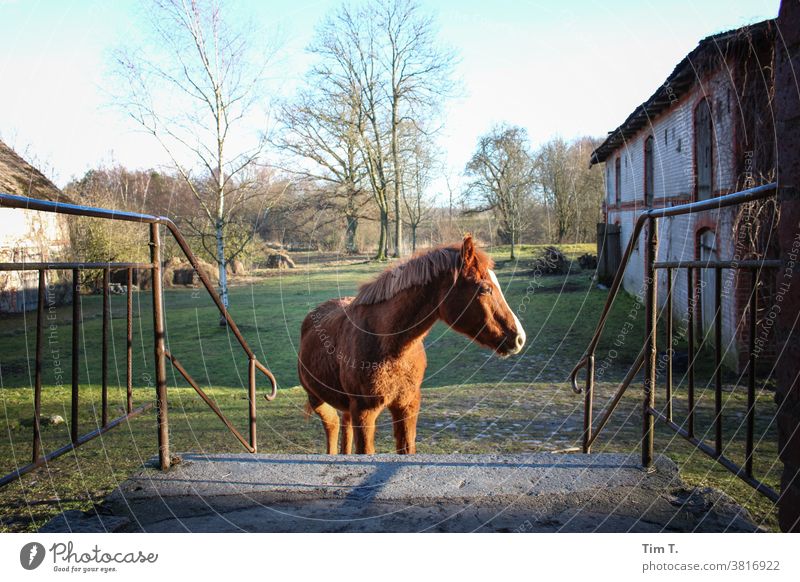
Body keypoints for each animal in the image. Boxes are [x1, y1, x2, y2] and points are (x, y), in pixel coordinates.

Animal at [296, 237, 520, 456]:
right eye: (485, 289)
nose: (519, 338)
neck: (391, 347)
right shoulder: (364, 412)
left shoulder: (407, 406)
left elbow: (406, 448)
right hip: (317, 399)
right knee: (332, 427)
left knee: (344, 425)